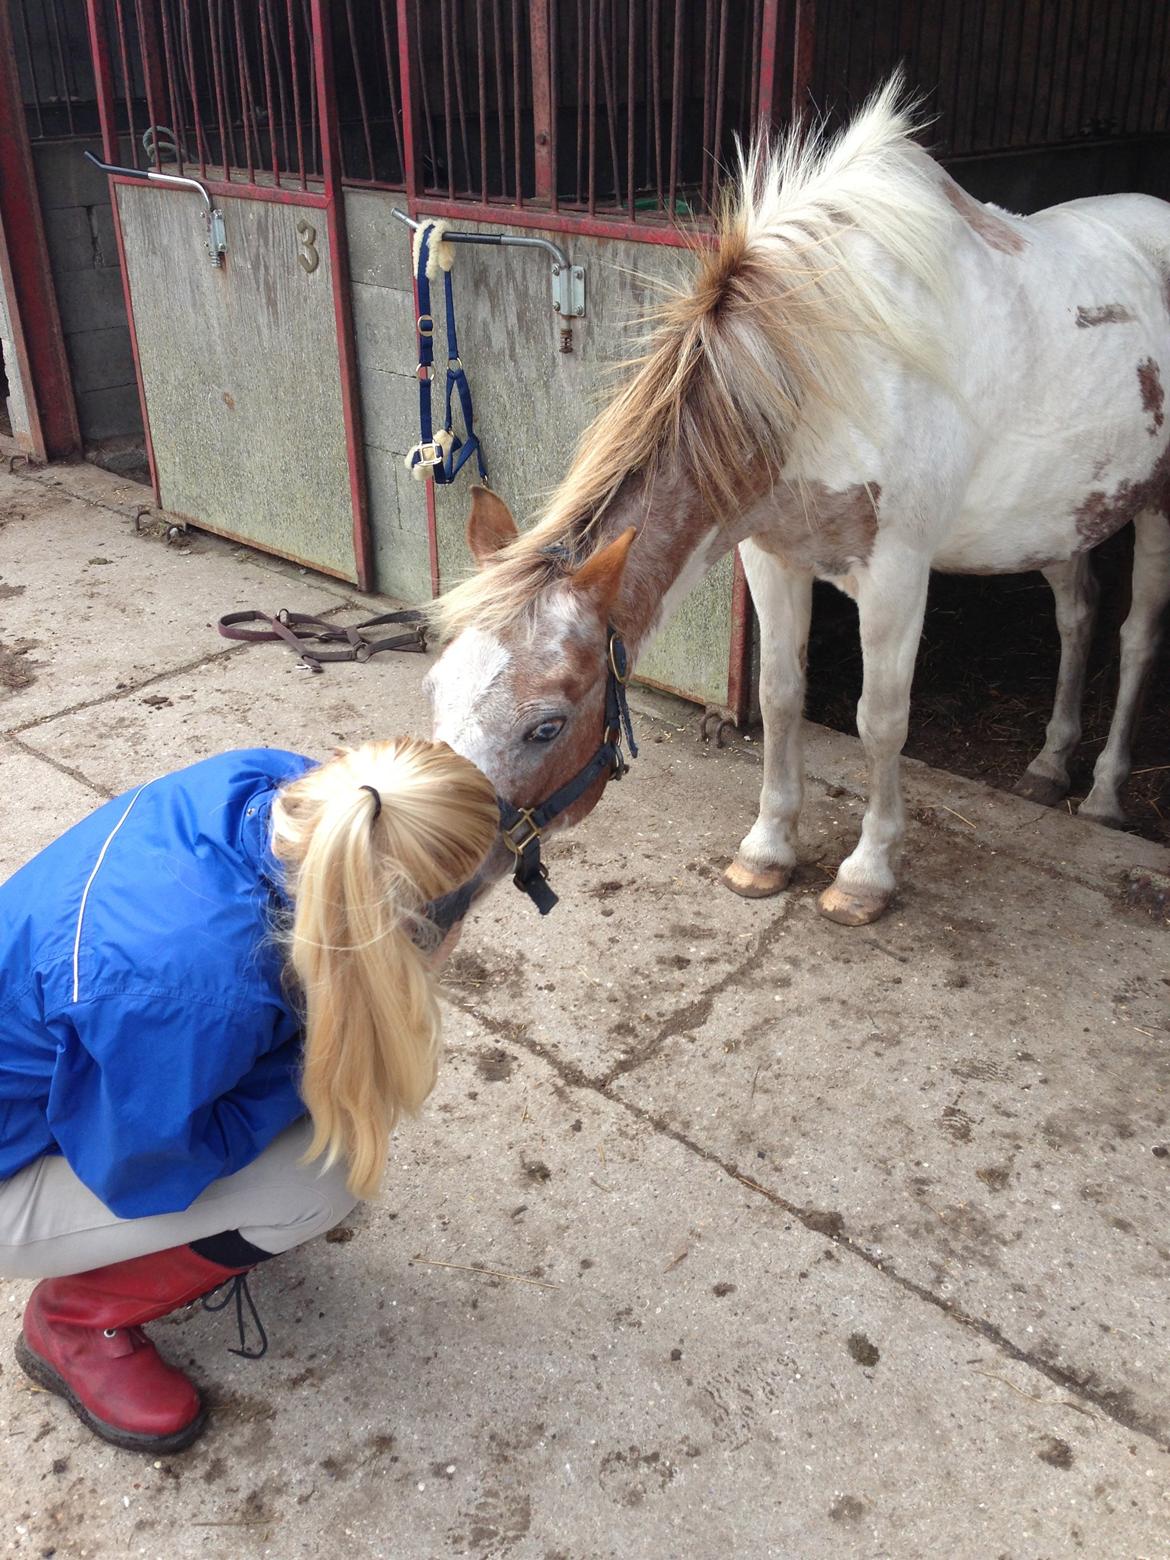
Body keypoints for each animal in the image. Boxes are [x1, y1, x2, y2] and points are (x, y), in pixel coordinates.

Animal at [427, 76, 1170, 923]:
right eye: (435, 686)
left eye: (546, 727)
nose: (417, 892)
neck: (820, 371)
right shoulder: (769, 554)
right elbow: (780, 698)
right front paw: (766, 852)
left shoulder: (895, 573)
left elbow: (880, 721)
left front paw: (867, 874)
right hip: (1056, 520)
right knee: (1077, 615)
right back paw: (1049, 764)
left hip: (1155, 509)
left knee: (1137, 635)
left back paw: (1106, 792)